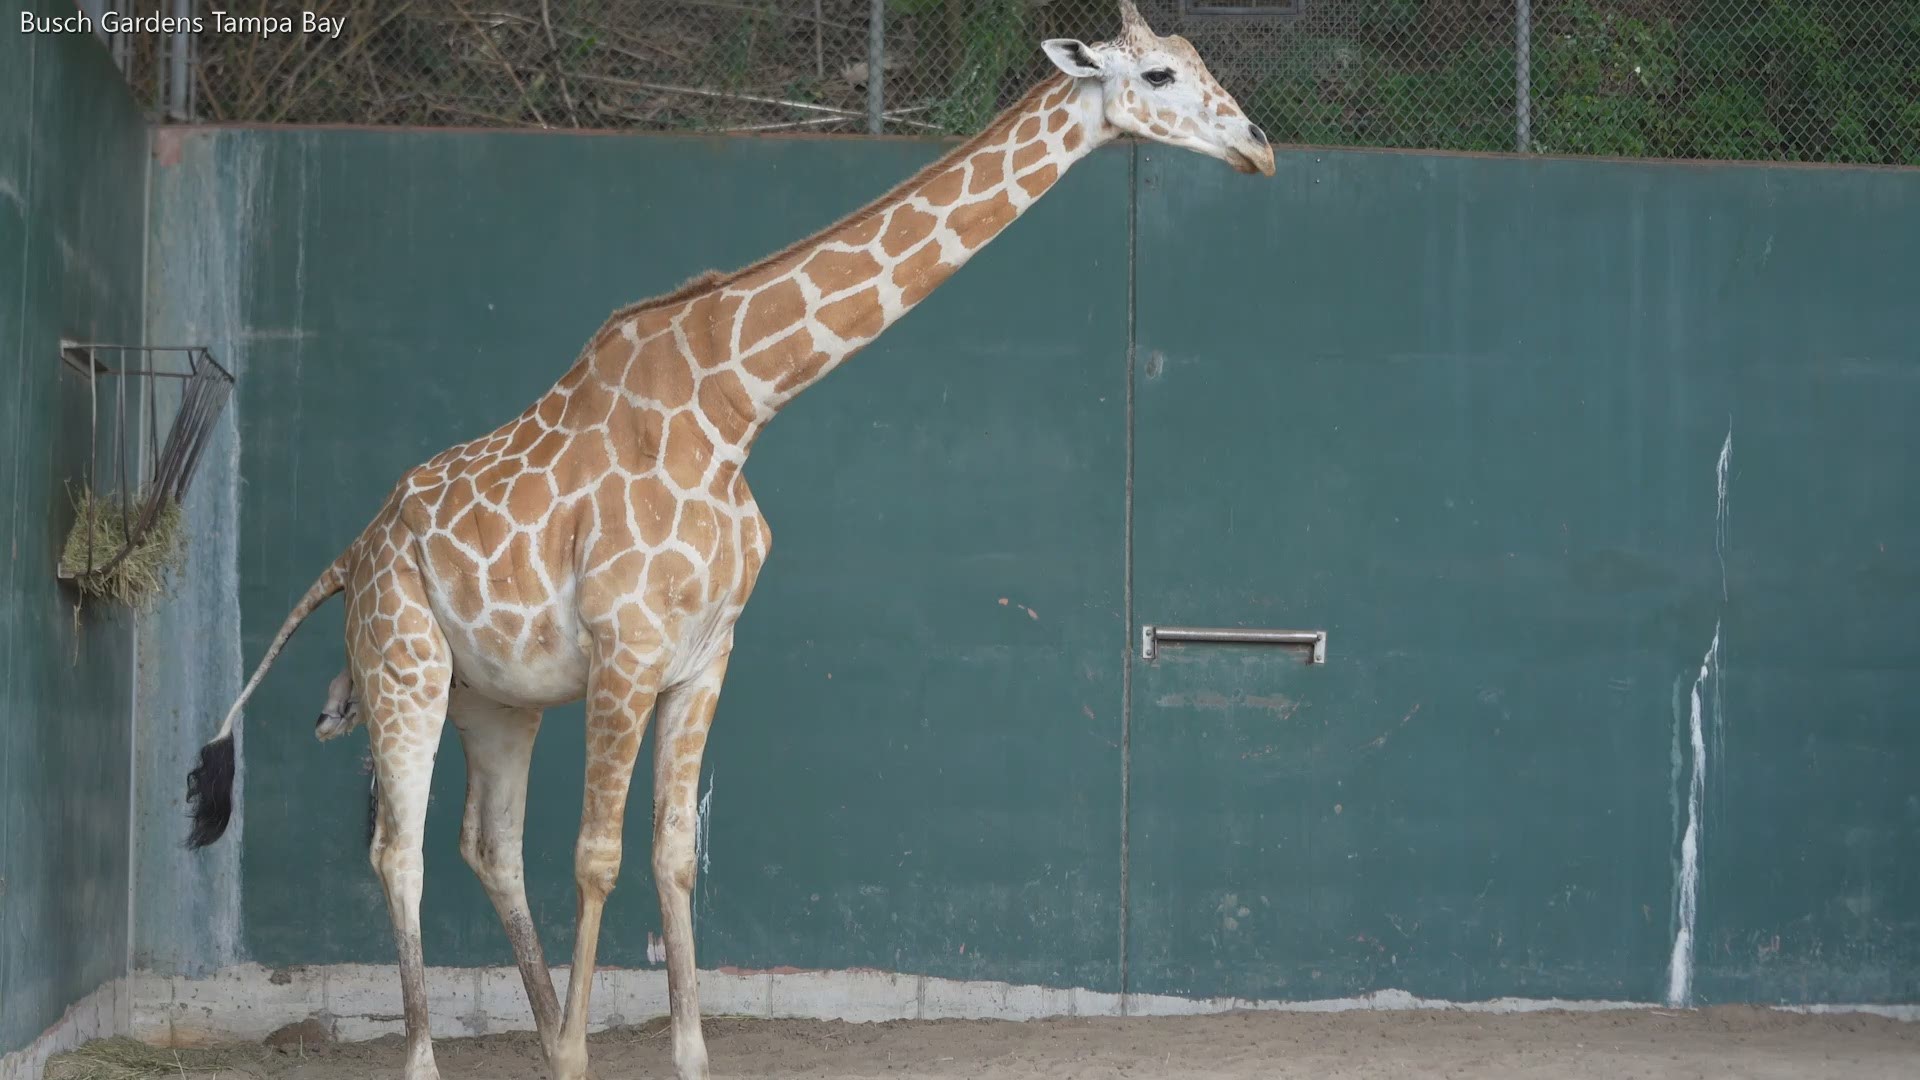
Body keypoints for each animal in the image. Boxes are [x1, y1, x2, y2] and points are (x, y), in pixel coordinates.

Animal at [183, 4, 1274, 1068]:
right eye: (1159, 75)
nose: (1259, 148)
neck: (734, 405)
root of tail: (351, 554)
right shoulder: (626, 648)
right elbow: (599, 856)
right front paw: (576, 1053)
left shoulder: (705, 654)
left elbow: (672, 856)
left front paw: (670, 1050)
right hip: (404, 665)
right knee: (397, 852)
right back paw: (444, 1050)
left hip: (497, 697)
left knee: (486, 846)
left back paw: (537, 1022)